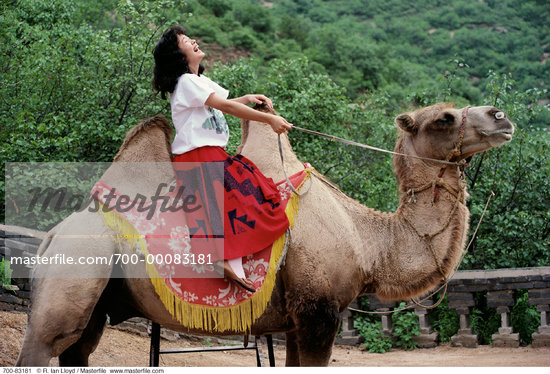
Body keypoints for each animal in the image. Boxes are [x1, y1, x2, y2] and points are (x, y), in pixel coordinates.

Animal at [17, 102, 516, 366]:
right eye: (444, 117)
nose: (500, 115)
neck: (368, 240)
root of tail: (52, 235)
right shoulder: (318, 311)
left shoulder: (297, 319)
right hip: (74, 274)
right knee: (42, 344)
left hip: (99, 301)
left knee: (77, 350)